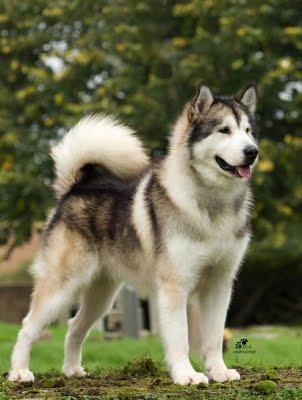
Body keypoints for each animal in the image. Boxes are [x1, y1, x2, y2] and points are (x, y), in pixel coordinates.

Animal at [8, 83, 260, 384]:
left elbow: (213, 336)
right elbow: (181, 338)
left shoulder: (219, 284)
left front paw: (218, 371)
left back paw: (72, 370)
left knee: (74, 326)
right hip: (62, 286)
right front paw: (186, 375)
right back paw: (19, 371)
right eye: (224, 130)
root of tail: (77, 187)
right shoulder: (175, 285)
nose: (253, 152)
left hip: (102, 296)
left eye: (248, 130)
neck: (212, 205)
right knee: (27, 326)